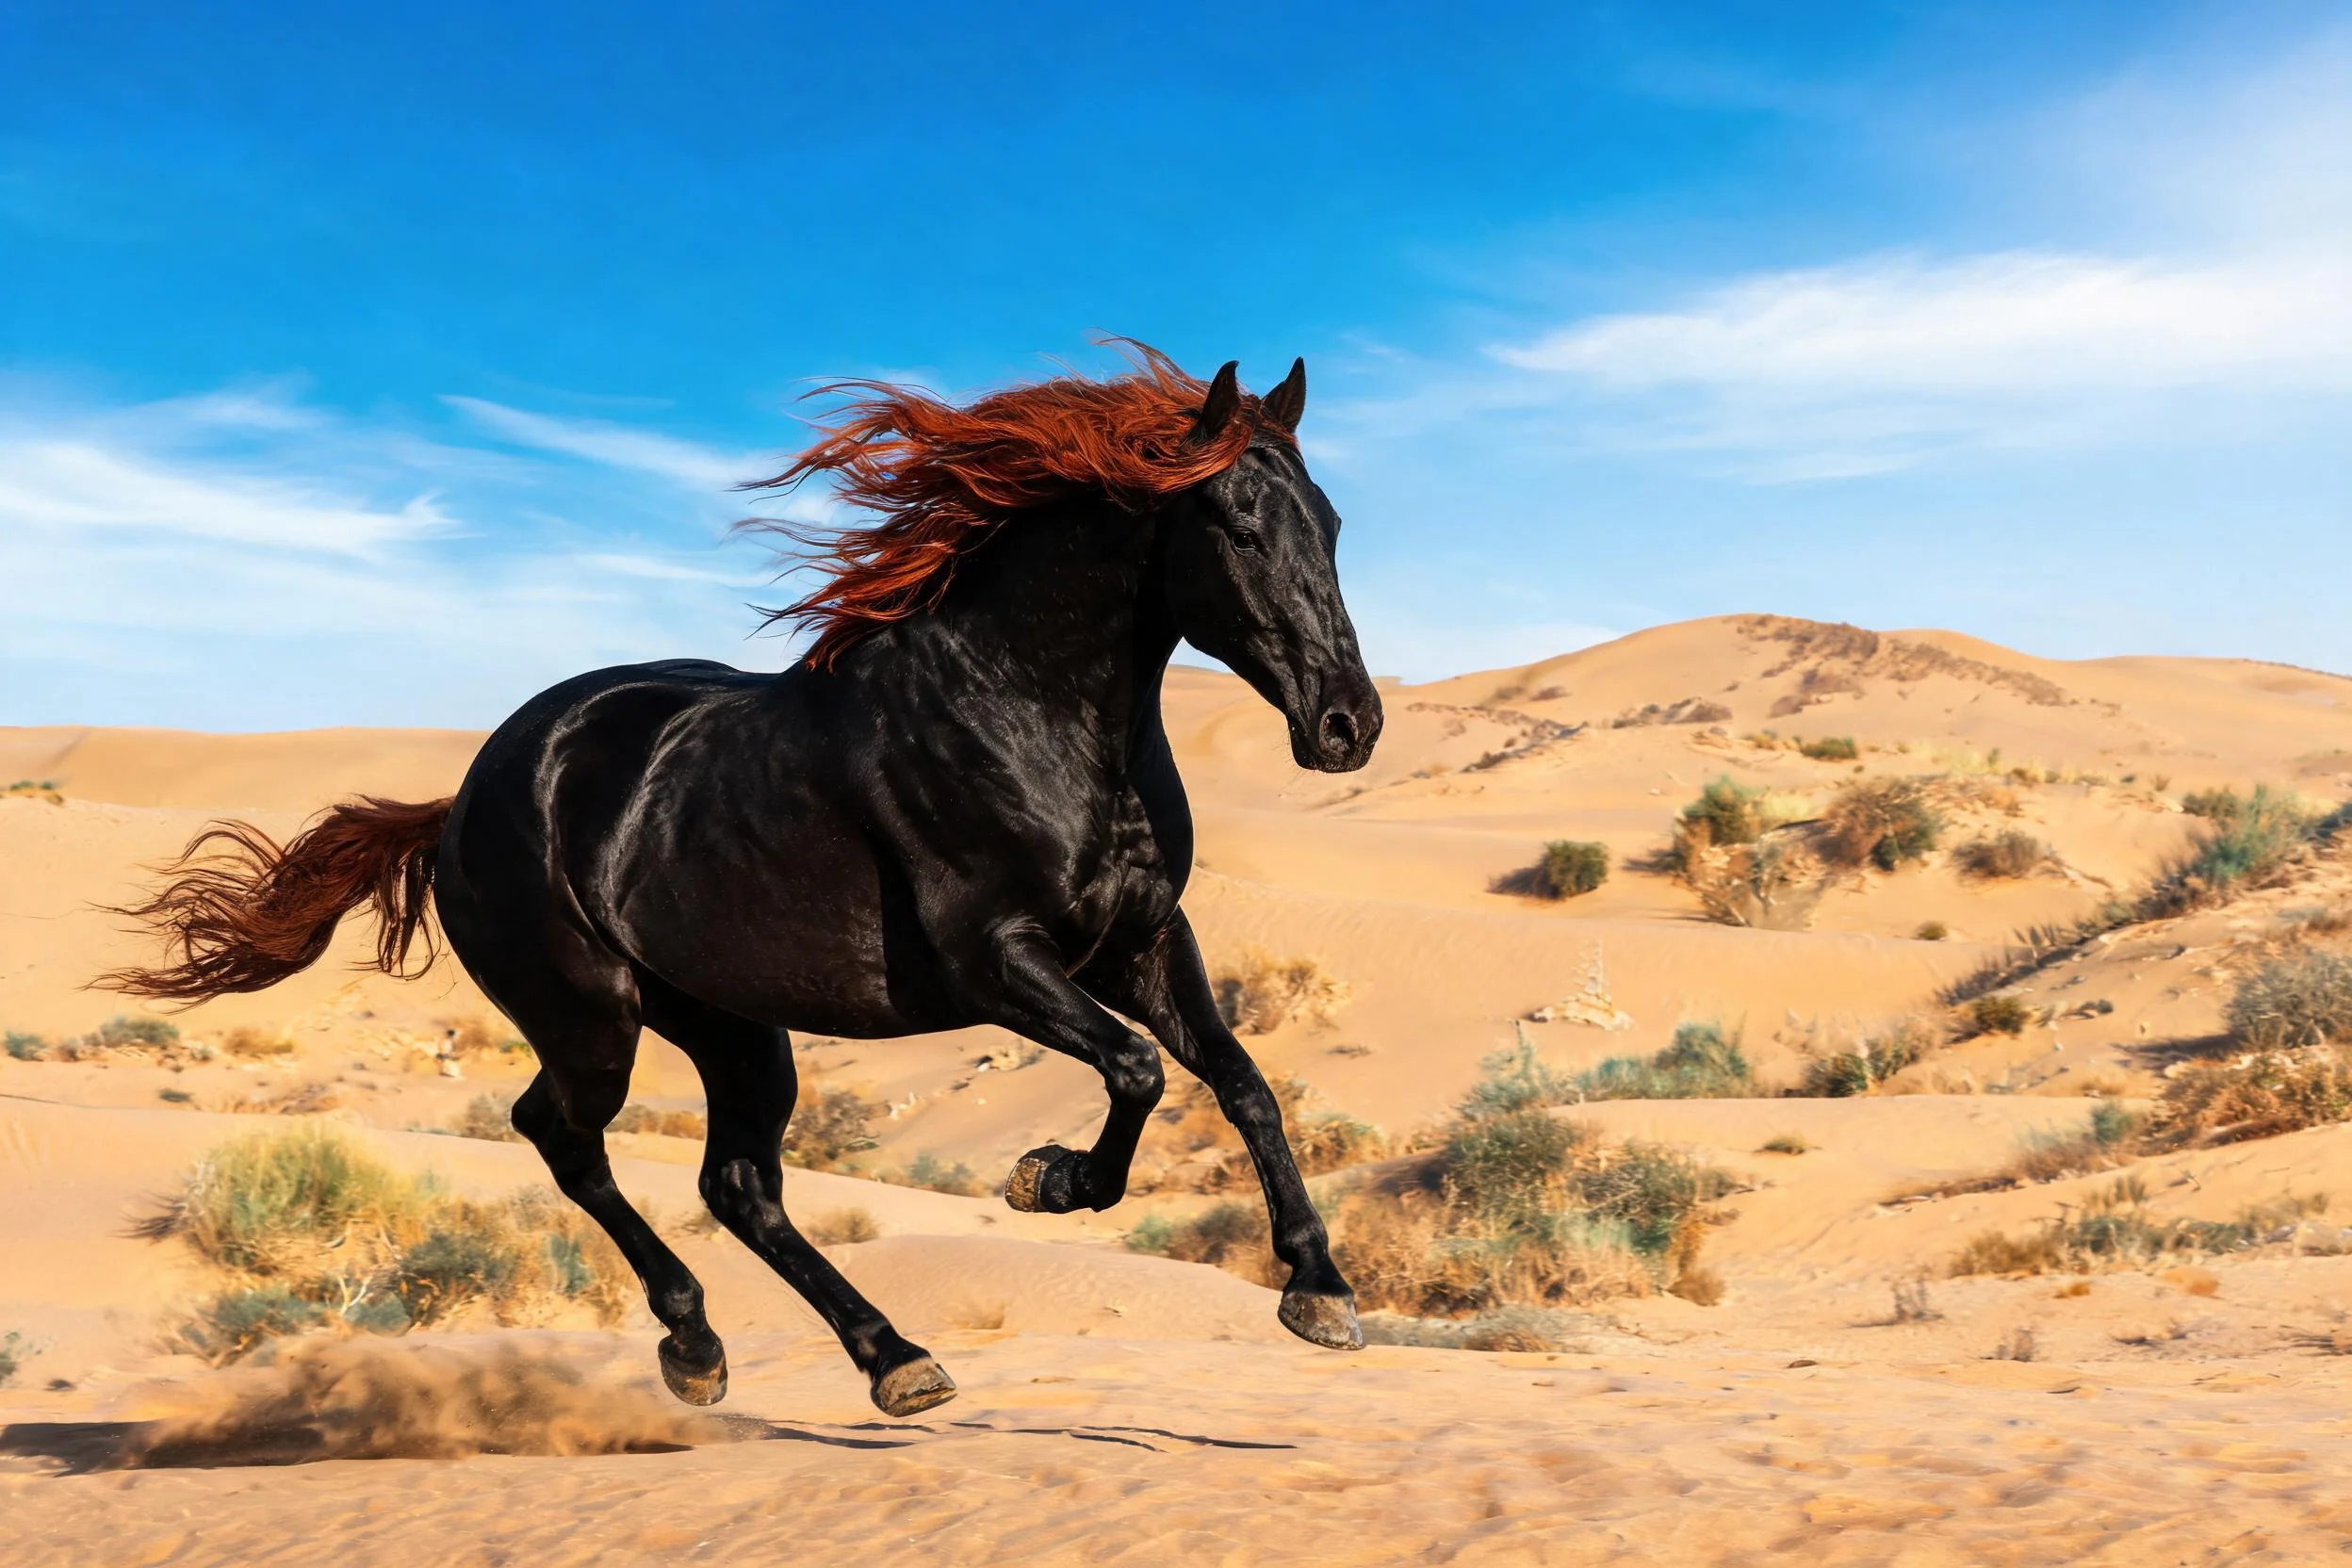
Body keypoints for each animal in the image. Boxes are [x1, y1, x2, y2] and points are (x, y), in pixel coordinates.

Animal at [103, 343, 1384, 1418]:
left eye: (1327, 519)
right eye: (1236, 523)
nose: (1348, 724)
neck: (1025, 706)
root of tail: (465, 796)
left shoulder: (1142, 940)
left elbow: (1240, 1081)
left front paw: (1318, 1288)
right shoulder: (997, 959)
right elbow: (1136, 1068)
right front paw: (1051, 1181)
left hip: (732, 1025)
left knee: (736, 1185)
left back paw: (891, 1357)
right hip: (592, 1017)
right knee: (565, 1138)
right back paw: (699, 1344)